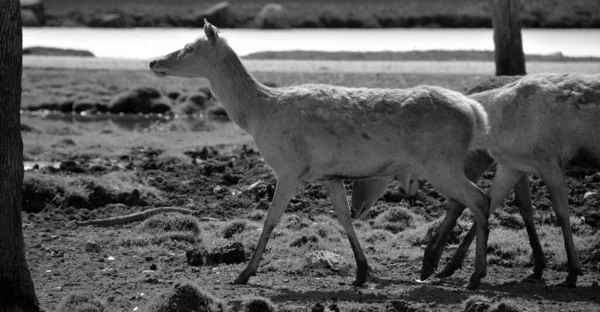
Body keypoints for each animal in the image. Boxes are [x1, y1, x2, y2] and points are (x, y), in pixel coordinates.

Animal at [149, 20, 492, 290]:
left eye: (189, 47)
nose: (153, 62)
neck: (258, 115)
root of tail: (475, 112)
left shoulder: (288, 167)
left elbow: (270, 218)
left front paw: (244, 273)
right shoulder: (330, 175)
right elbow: (344, 216)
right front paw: (361, 273)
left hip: (440, 161)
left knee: (478, 199)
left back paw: (472, 276)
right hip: (443, 164)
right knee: (472, 200)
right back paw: (445, 268)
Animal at [350, 73, 600, 288]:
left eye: (372, 168)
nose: (354, 210)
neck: (498, 128)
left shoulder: (550, 162)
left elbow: (562, 214)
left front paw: (572, 272)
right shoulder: (511, 165)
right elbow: (499, 204)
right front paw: (441, 265)